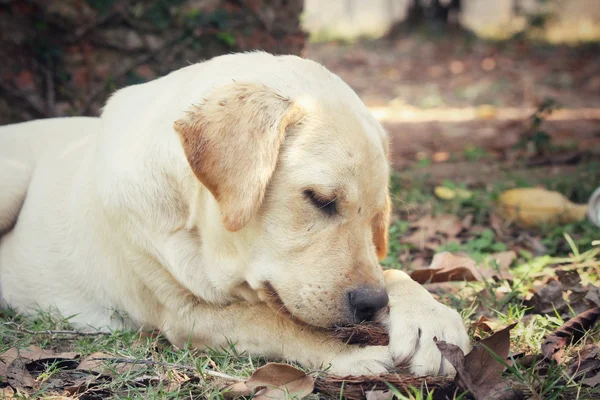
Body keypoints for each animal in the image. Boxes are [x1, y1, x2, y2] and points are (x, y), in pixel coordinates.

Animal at [0, 51, 468, 376]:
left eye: (375, 217)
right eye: (319, 199)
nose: (372, 305)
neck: (195, 234)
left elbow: (393, 273)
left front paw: (431, 319)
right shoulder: (185, 315)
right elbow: (280, 324)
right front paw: (348, 357)